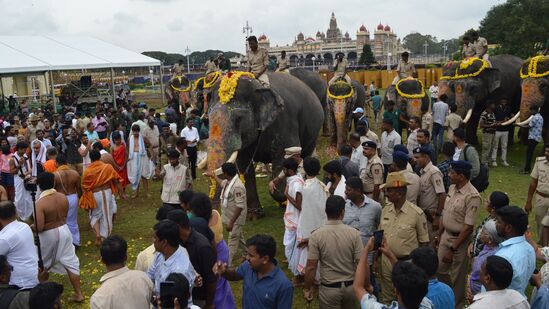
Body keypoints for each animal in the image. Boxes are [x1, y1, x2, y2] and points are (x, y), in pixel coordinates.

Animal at [199, 71, 324, 217]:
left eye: (239, 119)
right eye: (208, 119)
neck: (257, 85)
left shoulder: (284, 121)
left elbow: (284, 157)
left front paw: (284, 199)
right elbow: (243, 165)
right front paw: (254, 215)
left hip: (313, 132)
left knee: (306, 156)